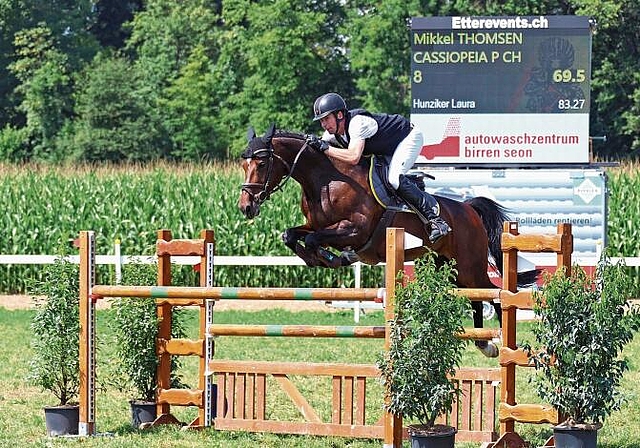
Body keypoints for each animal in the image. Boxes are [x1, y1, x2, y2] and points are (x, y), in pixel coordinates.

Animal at [238, 124, 536, 356]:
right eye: (243, 164)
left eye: (261, 163)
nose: (245, 207)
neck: (325, 180)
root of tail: (469, 209)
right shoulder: (315, 224)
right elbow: (291, 234)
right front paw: (320, 259)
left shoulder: (354, 230)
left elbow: (313, 239)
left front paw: (330, 258)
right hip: (449, 267)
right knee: (476, 297)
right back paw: (484, 343)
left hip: (469, 265)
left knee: (493, 296)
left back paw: (501, 343)